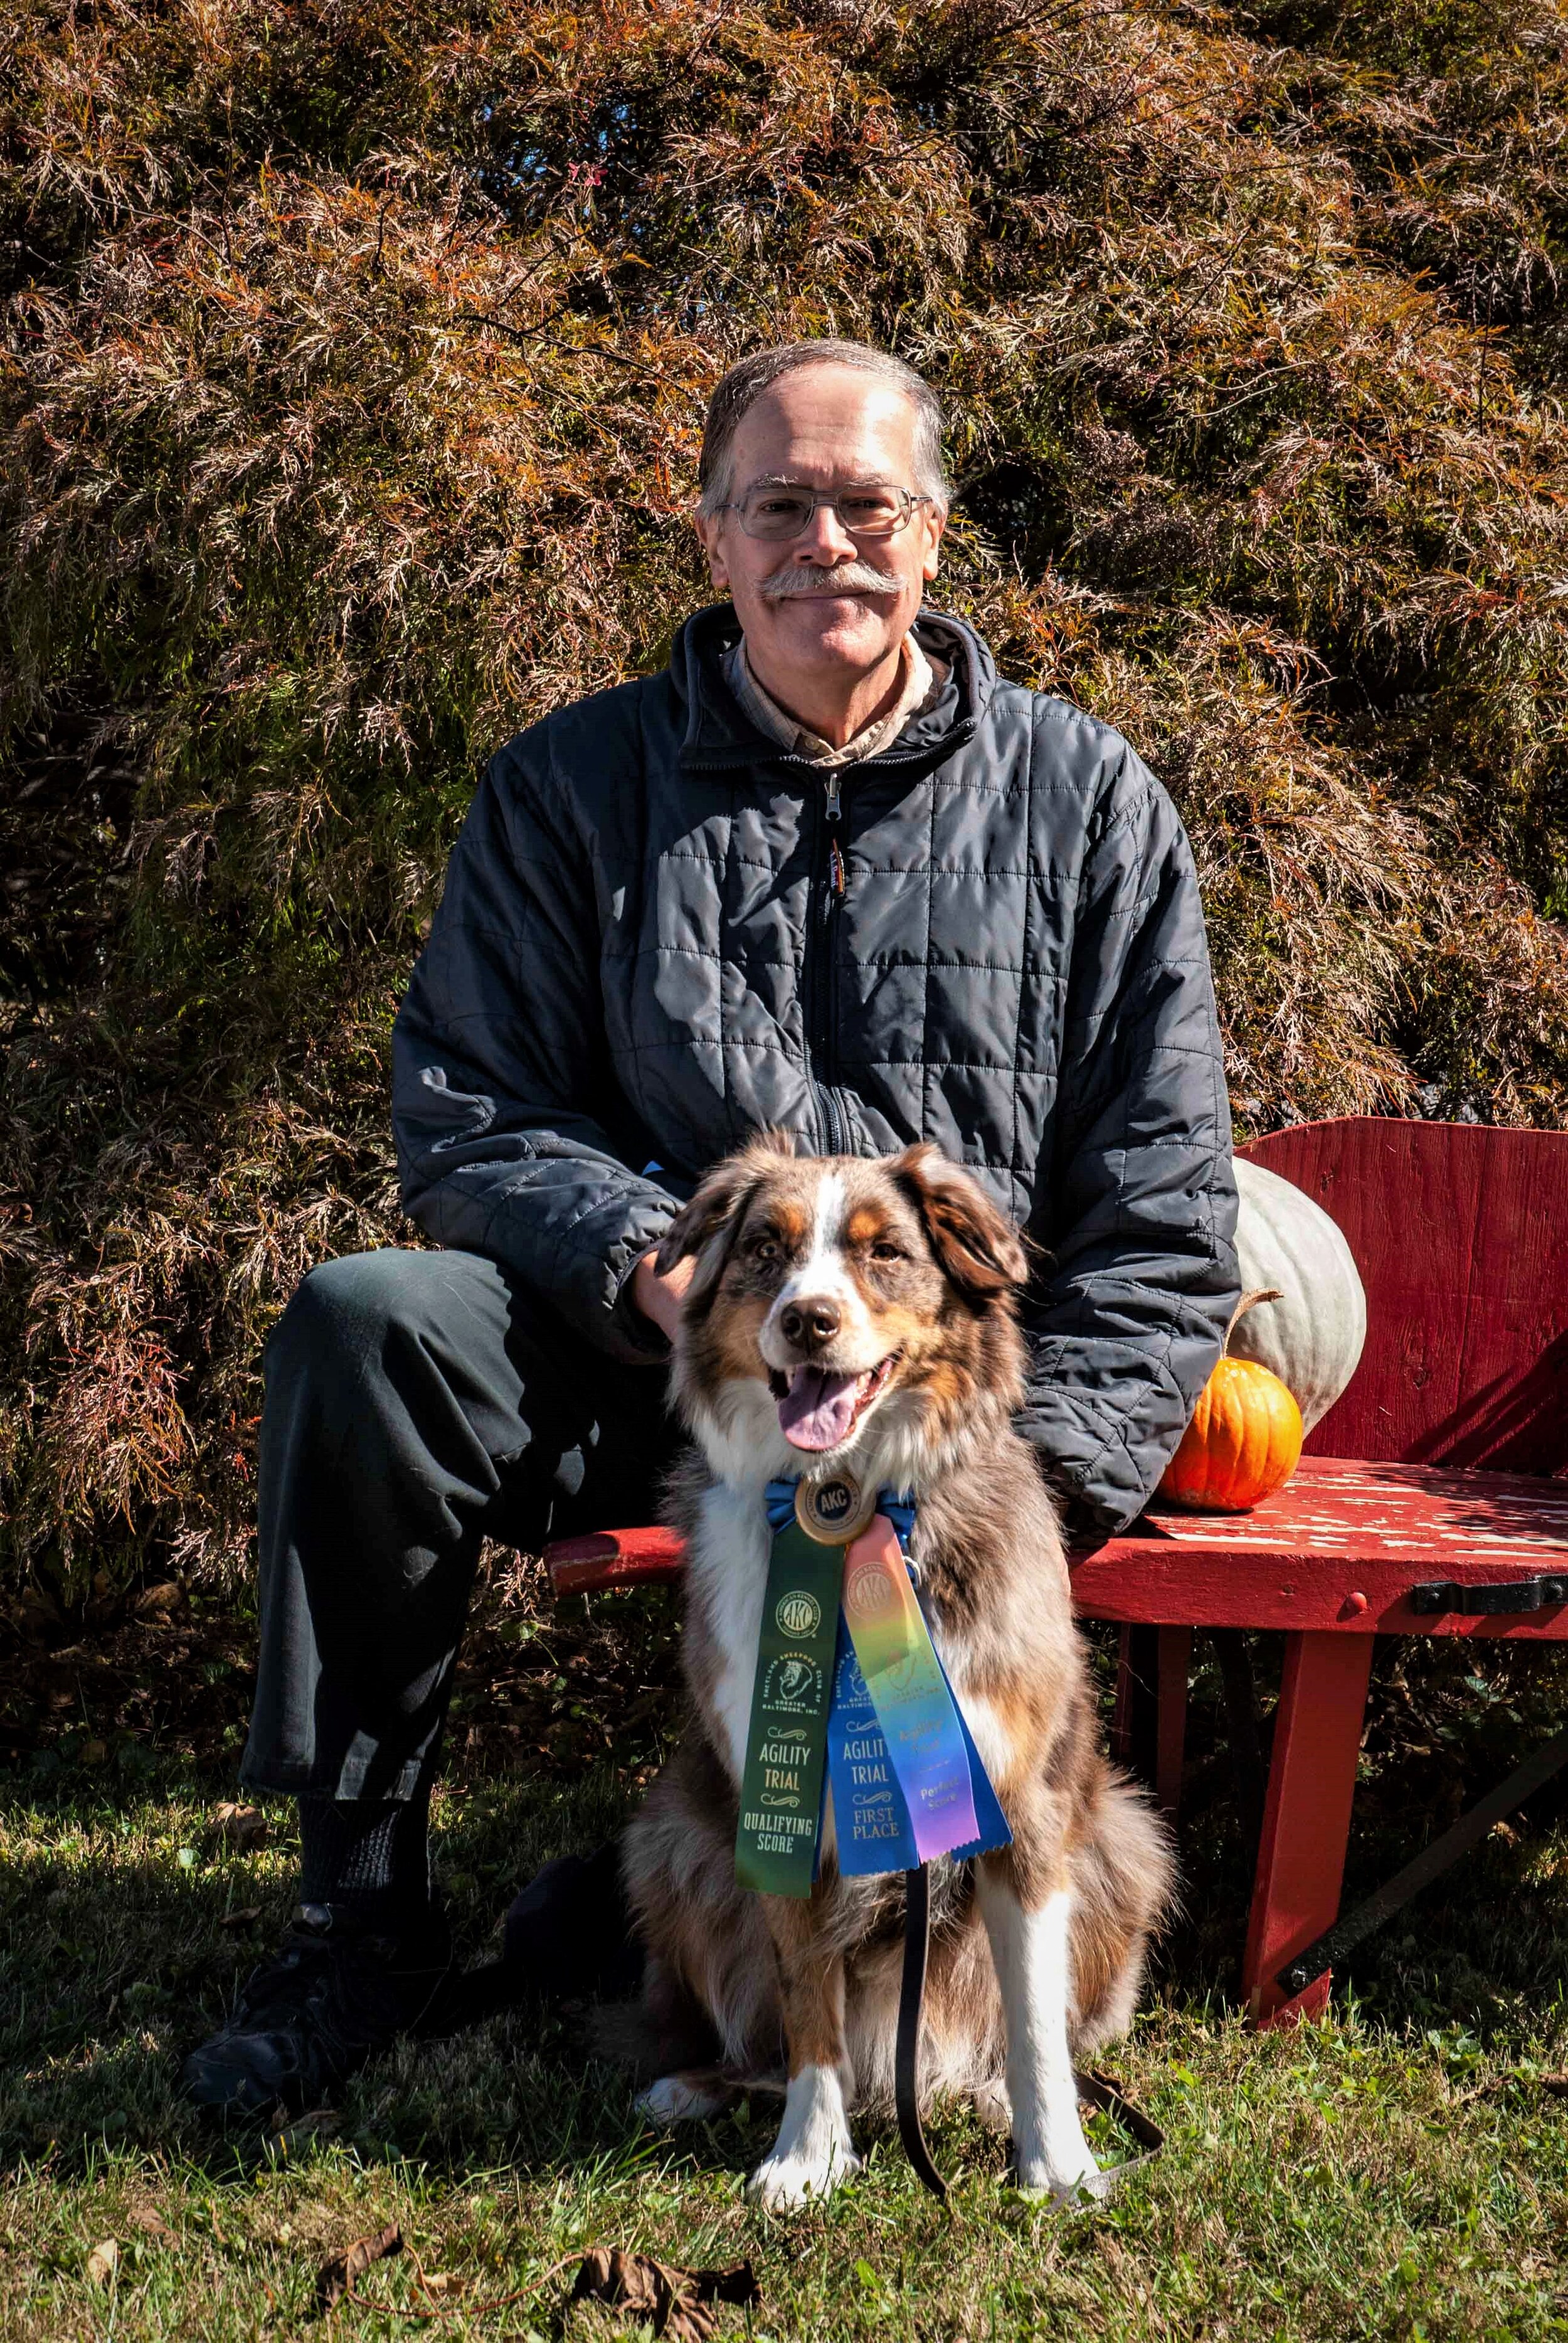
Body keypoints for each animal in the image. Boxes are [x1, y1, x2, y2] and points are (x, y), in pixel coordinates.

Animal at [618, 1143, 1167, 2202]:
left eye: (885, 1253)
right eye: (766, 1247)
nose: (808, 1318)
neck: (854, 1498)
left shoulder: (1021, 1803)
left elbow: (1033, 2013)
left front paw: (1058, 2160)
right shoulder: (779, 1801)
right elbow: (806, 2003)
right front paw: (808, 2154)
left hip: (1127, 1841)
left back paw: (993, 2095)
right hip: (673, 1844)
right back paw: (693, 2083)